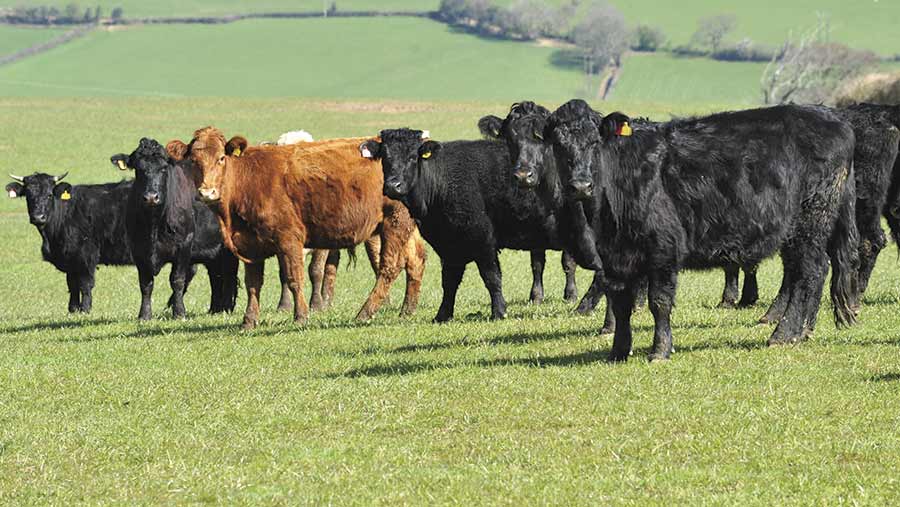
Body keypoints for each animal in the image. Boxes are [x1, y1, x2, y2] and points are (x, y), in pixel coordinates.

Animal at [5, 173, 134, 312]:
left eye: (49, 194)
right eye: (28, 195)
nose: (38, 217)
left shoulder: (86, 256)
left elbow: (85, 284)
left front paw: (85, 309)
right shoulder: (70, 260)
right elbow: (72, 284)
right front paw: (73, 309)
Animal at [110, 138, 239, 322]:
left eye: (164, 168)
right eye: (138, 169)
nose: (151, 197)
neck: (154, 223)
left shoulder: (184, 244)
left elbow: (177, 280)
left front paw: (179, 313)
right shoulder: (138, 248)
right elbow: (146, 284)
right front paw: (144, 315)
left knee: (228, 274)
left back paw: (225, 308)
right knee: (216, 275)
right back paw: (215, 309)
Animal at [167, 129, 428, 332]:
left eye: (221, 158)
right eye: (193, 161)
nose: (206, 192)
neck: (248, 180)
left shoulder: (289, 239)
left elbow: (294, 278)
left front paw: (301, 316)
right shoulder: (250, 244)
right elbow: (253, 284)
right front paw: (249, 320)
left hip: (394, 222)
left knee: (390, 267)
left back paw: (365, 312)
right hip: (405, 226)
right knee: (416, 261)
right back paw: (407, 309)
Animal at [362, 129, 580, 324]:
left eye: (412, 157)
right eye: (385, 157)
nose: (393, 185)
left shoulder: (484, 241)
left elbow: (492, 277)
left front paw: (499, 311)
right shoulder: (449, 247)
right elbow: (449, 282)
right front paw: (443, 315)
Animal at [540, 100, 856, 362]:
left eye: (595, 142)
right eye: (558, 144)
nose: (580, 186)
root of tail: (832, 117)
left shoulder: (663, 248)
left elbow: (659, 302)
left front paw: (660, 351)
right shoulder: (615, 258)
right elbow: (620, 304)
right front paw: (618, 351)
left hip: (810, 220)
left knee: (808, 272)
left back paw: (783, 333)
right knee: (816, 269)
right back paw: (803, 331)